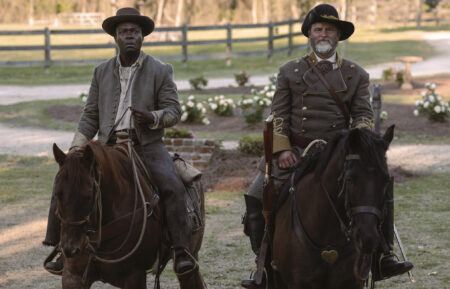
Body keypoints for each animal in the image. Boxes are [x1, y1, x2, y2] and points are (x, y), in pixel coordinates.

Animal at [52, 141, 206, 288]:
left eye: (88, 196)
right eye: (57, 193)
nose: (70, 248)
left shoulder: (134, 276)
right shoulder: (73, 276)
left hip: (191, 256)